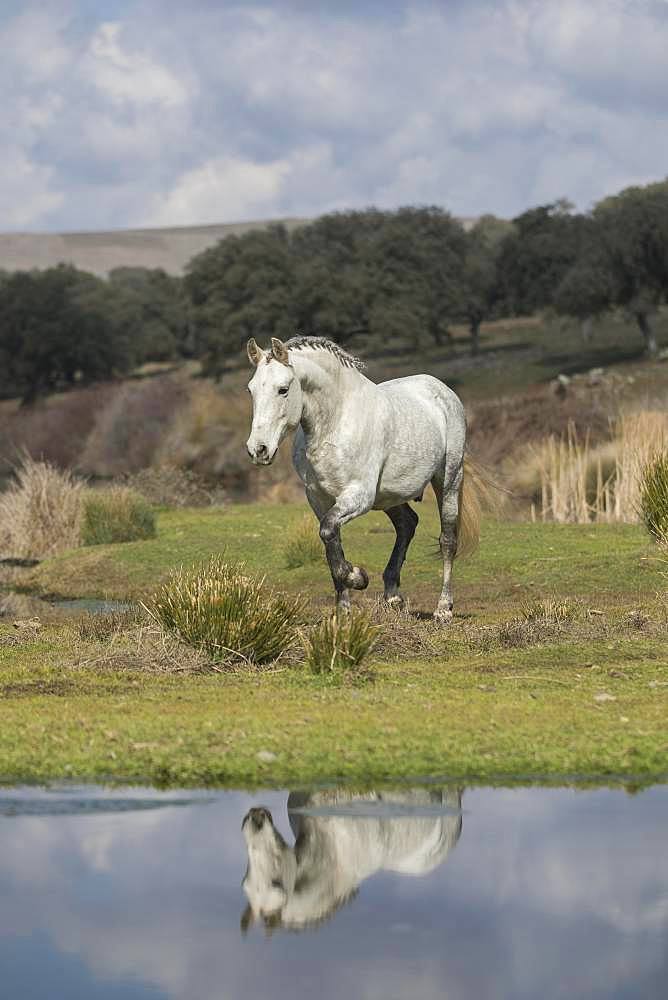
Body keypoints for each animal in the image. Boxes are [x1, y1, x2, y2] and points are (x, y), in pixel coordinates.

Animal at [248, 336, 478, 616]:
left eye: (282, 390)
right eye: (251, 390)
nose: (258, 449)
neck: (336, 421)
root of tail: (443, 391)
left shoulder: (359, 495)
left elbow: (328, 532)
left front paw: (357, 577)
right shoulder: (319, 499)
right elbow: (330, 540)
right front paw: (343, 611)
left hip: (448, 480)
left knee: (447, 540)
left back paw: (443, 608)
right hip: (389, 496)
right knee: (407, 524)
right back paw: (393, 596)